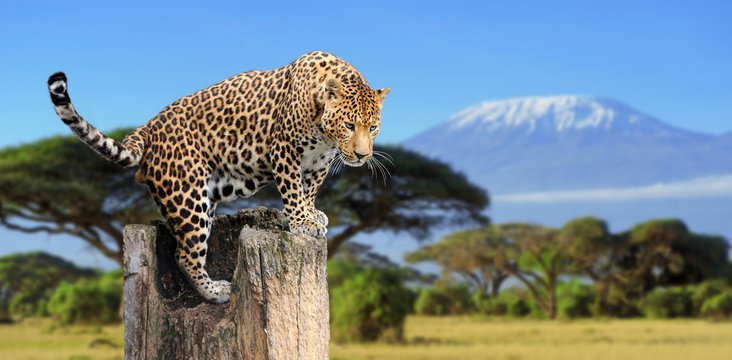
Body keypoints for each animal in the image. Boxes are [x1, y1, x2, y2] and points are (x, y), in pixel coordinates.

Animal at [47, 50, 388, 304]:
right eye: (349, 125)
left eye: (372, 127)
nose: (362, 156)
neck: (326, 134)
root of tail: (148, 127)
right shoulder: (285, 150)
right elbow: (292, 189)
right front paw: (302, 221)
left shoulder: (319, 163)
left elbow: (309, 189)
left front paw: (312, 213)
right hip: (188, 196)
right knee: (185, 254)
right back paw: (216, 293)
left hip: (205, 198)